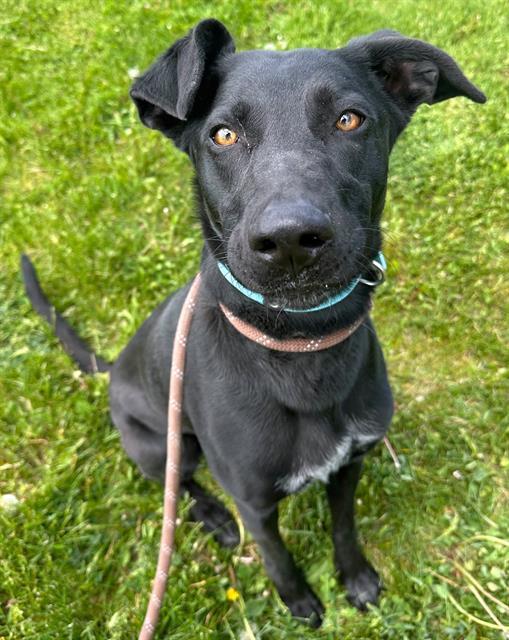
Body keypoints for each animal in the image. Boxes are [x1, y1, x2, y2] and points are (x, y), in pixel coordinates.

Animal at [22, 18, 484, 624]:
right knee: (179, 487)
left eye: (349, 119)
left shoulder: (350, 465)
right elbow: (275, 552)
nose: (289, 240)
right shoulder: (254, 499)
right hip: (160, 445)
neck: (302, 350)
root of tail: (114, 365)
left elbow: (344, 527)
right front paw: (298, 599)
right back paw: (214, 519)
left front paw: (355, 577)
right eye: (222, 134)